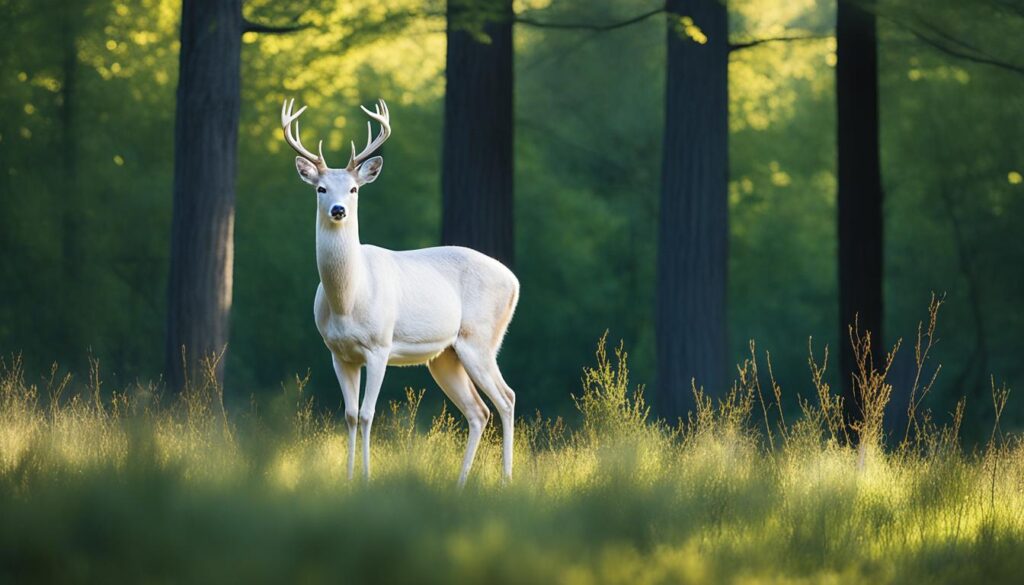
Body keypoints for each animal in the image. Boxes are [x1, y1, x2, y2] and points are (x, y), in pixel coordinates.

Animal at [280, 98, 520, 487]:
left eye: (354, 189)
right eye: (320, 189)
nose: (338, 210)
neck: (347, 300)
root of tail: (514, 281)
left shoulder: (379, 346)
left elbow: (367, 413)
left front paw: (365, 479)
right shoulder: (338, 353)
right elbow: (349, 415)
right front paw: (348, 479)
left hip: (480, 339)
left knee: (506, 398)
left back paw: (505, 480)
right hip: (445, 356)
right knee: (478, 410)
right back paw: (461, 483)